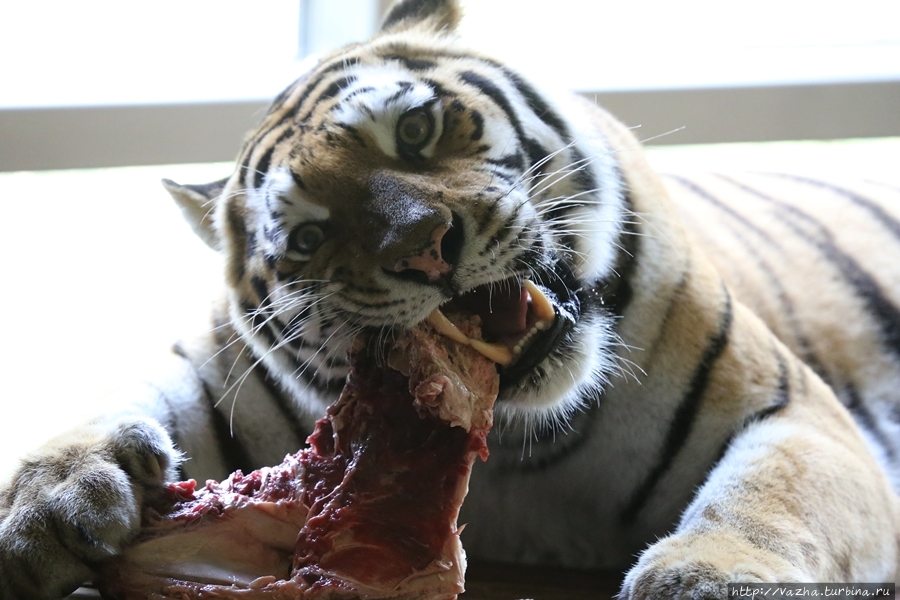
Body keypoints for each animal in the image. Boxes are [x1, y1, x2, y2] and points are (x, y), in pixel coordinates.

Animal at [1, 0, 900, 596]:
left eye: (415, 132)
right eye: (308, 238)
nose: (425, 249)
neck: (527, 442)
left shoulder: (795, 411)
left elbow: (770, 499)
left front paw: (702, 573)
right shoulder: (224, 367)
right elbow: (125, 396)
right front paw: (50, 499)